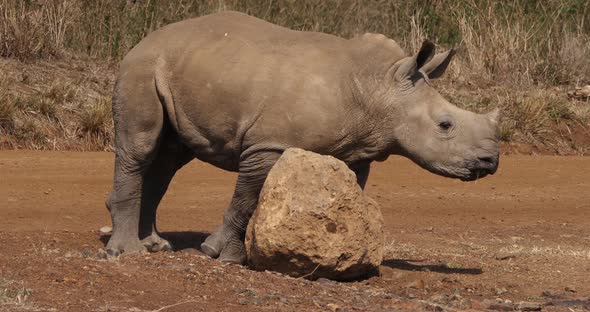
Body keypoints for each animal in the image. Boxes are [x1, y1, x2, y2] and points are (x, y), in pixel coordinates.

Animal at [105, 11, 500, 264]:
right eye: (445, 125)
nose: (491, 162)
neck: (380, 87)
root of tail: (144, 39)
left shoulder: (354, 152)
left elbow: (347, 197)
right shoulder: (267, 144)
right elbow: (245, 199)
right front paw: (218, 254)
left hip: (181, 70)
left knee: (169, 158)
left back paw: (156, 246)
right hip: (141, 67)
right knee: (141, 148)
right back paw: (125, 253)